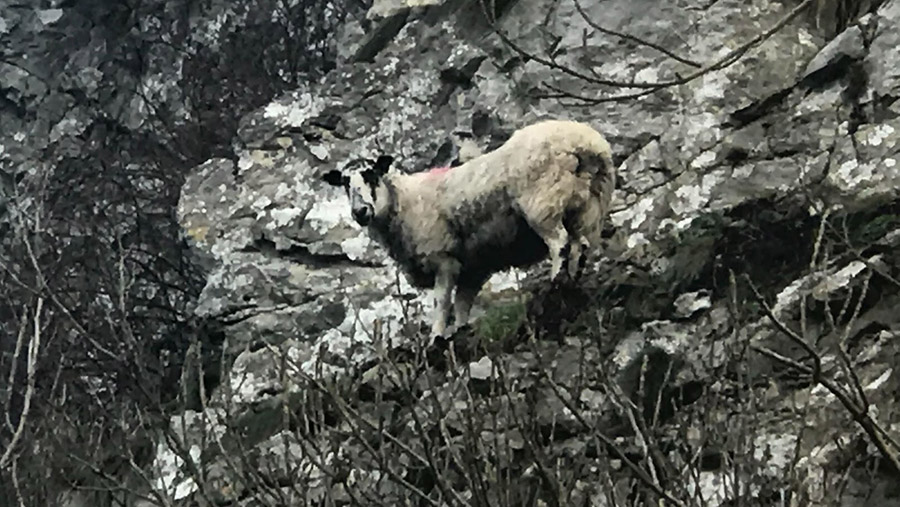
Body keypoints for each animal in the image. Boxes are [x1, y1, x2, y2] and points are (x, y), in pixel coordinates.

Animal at [330, 119, 620, 338]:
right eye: (344, 183)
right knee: (580, 245)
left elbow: (442, 302)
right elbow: (462, 304)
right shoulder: (472, 267)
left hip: (544, 202)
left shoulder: (443, 257)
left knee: (560, 243)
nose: (360, 212)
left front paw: (436, 336)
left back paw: (556, 281)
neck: (404, 200)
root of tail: (585, 143)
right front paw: (459, 330)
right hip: (588, 207)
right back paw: (573, 279)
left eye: (371, 175)